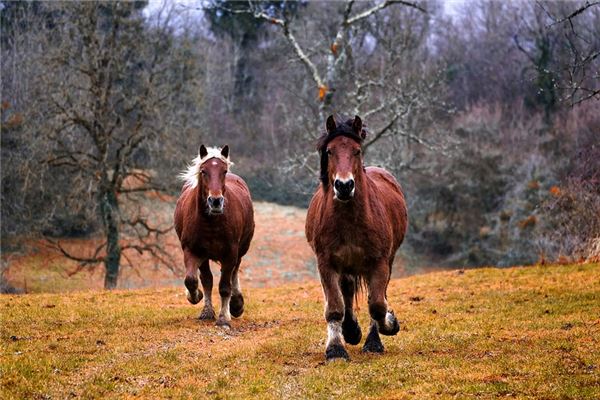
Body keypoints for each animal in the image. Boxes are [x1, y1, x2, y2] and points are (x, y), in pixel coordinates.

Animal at [173, 145, 253, 326]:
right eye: (203, 171)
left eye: (224, 171)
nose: (215, 201)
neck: (211, 222)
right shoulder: (192, 250)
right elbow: (192, 280)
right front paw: (196, 297)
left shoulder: (230, 253)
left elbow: (224, 286)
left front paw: (224, 318)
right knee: (207, 279)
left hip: (240, 250)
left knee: (234, 272)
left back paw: (236, 305)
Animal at [304, 116, 408, 362]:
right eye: (330, 151)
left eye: (357, 150)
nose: (344, 186)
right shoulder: (326, 263)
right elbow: (335, 307)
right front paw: (335, 349)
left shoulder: (379, 263)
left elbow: (377, 305)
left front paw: (389, 326)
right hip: (347, 266)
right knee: (347, 291)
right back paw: (350, 330)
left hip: (386, 262)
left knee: (375, 296)